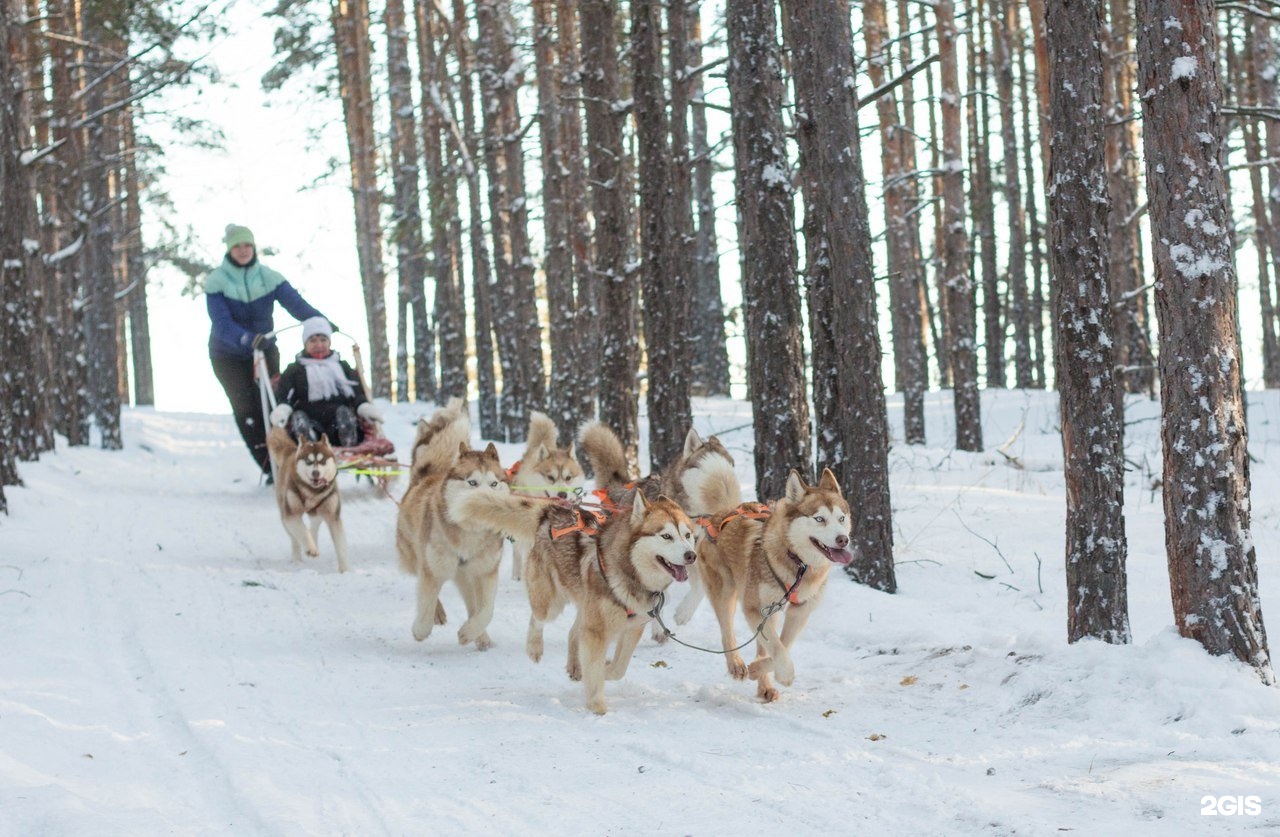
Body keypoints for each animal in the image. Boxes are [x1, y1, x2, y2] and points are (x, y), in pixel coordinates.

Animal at [267, 430, 350, 573]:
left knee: (314, 525)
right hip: (284, 515)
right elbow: (302, 531)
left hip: (319, 511)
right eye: (308, 461)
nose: (315, 473)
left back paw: (313, 538)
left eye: (322, 461)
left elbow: (341, 546)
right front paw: (310, 549)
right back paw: (297, 559)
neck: (312, 493)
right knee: (295, 538)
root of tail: (292, 450)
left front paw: (345, 570)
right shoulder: (291, 515)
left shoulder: (333, 517)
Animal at [394, 399, 509, 650]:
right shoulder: (432, 569)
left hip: (465, 575)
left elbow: (486, 610)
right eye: (472, 482)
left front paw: (470, 633)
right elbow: (426, 600)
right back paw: (438, 616)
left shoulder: (486, 572)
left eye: (494, 483)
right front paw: (421, 629)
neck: (469, 535)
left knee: (472, 604)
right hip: (415, 555)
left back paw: (481, 637)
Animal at [455, 488, 696, 716]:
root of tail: (551, 512)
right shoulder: (597, 630)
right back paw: (534, 647)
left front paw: (604, 670)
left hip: (586, 606)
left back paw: (575, 666)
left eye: (687, 535)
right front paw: (597, 705)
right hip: (552, 602)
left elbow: (618, 668)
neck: (630, 572)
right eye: (666, 536)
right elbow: (596, 667)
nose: (691, 555)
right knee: (538, 618)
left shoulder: (633, 627)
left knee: (573, 632)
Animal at [696, 468, 855, 706]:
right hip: (726, 591)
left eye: (841, 518)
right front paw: (785, 675)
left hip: (770, 612)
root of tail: (720, 515)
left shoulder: (800, 611)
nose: (843, 539)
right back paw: (736, 664)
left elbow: (782, 646)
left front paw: (758, 670)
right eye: (819, 519)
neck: (798, 564)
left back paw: (764, 686)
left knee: (762, 645)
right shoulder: (753, 609)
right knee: (727, 631)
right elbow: (779, 649)